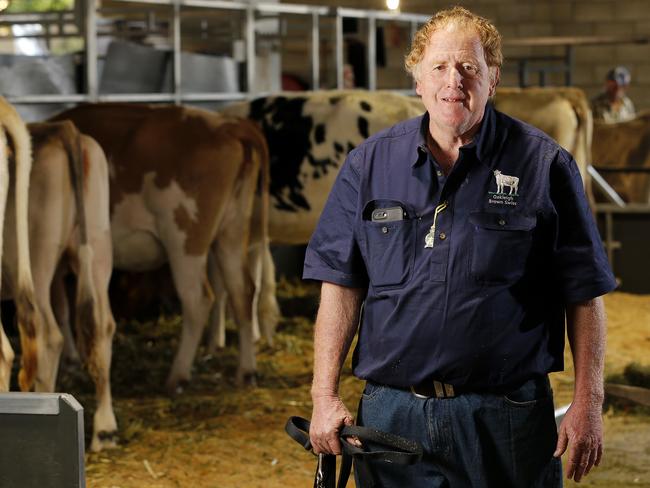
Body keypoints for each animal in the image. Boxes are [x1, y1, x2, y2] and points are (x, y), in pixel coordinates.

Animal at [52, 104, 270, 392]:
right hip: (231, 230)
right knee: (242, 290)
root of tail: (227, 125)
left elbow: (59, 307)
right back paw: (246, 372)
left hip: (184, 237)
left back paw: (177, 375)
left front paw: (70, 359)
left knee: (198, 298)